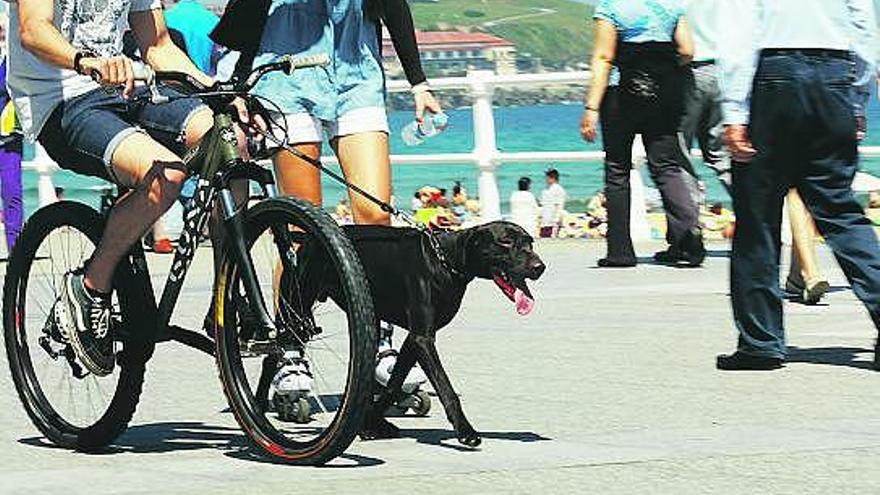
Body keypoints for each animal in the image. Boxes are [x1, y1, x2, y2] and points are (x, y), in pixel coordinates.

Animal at [306, 221, 548, 446]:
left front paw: (371, 422)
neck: (445, 260)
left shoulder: (415, 339)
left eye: (530, 243)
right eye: (505, 241)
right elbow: (445, 388)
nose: (540, 267)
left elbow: (393, 385)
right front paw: (465, 430)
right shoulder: (423, 338)